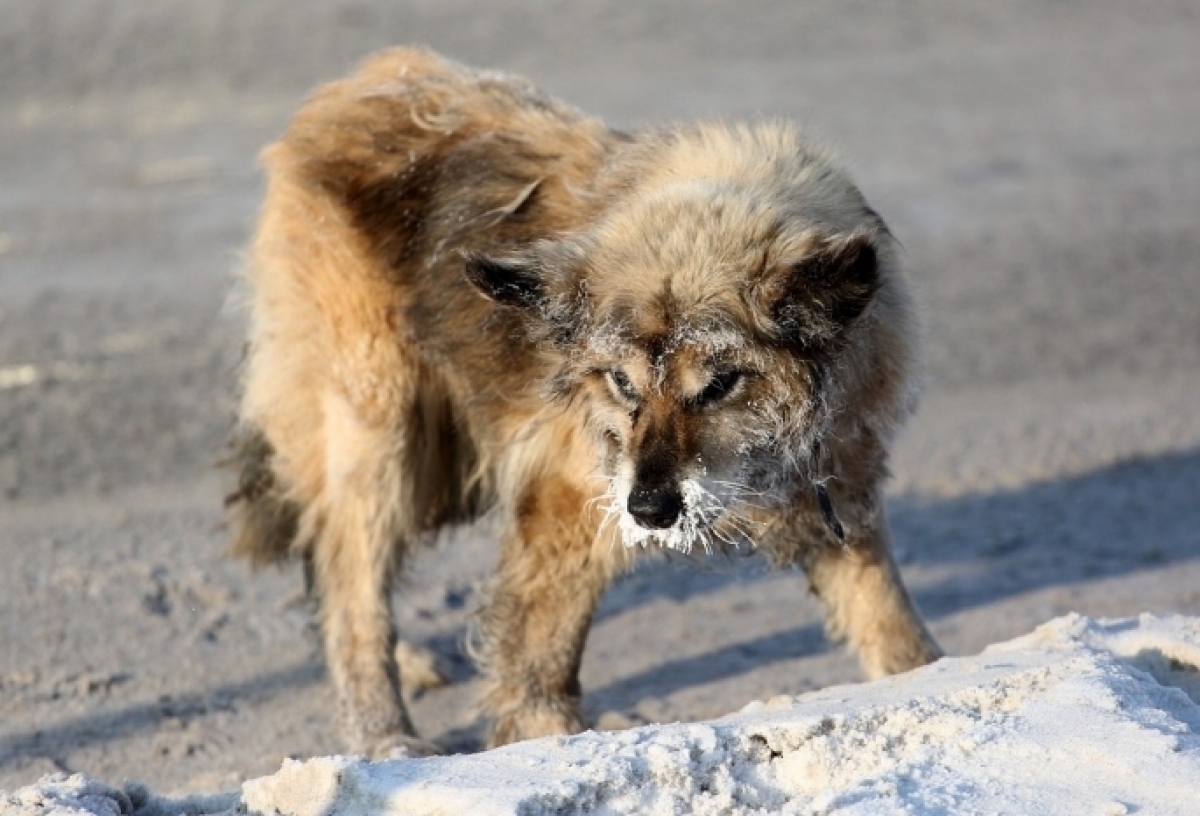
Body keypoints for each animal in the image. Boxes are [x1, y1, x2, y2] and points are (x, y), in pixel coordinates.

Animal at [223, 47, 936, 753]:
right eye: (622, 383)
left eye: (719, 384)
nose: (650, 510)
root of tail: (351, 88)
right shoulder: (565, 502)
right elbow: (539, 656)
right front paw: (544, 741)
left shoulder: (841, 489)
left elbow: (893, 627)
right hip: (382, 435)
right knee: (351, 587)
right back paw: (386, 738)